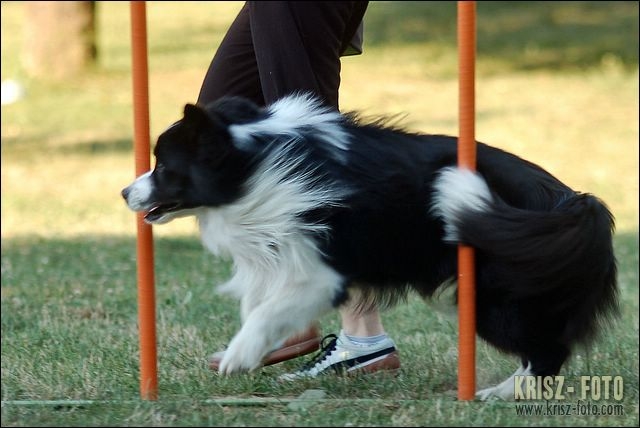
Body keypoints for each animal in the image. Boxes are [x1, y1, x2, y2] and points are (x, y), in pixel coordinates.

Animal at [121, 93, 618, 399]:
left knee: (548, 351)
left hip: (493, 293)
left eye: (162, 167)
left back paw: (501, 394)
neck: (254, 163)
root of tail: (574, 203)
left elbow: (269, 308)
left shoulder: (322, 268)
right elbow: (261, 303)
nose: (125, 193)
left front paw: (239, 357)